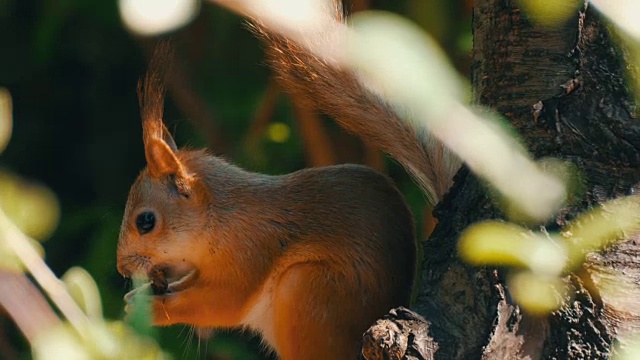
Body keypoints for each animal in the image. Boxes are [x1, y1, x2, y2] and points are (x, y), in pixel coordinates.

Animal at [114, 1, 456, 358]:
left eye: (146, 221)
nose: (122, 269)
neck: (219, 221)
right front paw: (136, 297)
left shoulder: (250, 252)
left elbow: (224, 304)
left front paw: (153, 310)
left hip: (307, 289)